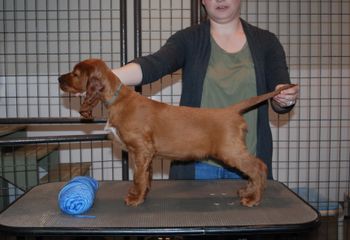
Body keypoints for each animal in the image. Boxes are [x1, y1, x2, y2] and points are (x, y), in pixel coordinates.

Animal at [59, 58, 296, 206]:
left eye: (75, 73)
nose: (59, 79)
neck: (117, 98)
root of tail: (230, 110)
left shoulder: (141, 149)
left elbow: (137, 176)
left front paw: (135, 199)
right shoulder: (147, 153)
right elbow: (145, 176)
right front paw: (142, 195)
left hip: (230, 151)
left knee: (258, 167)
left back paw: (253, 198)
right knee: (254, 168)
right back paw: (247, 191)